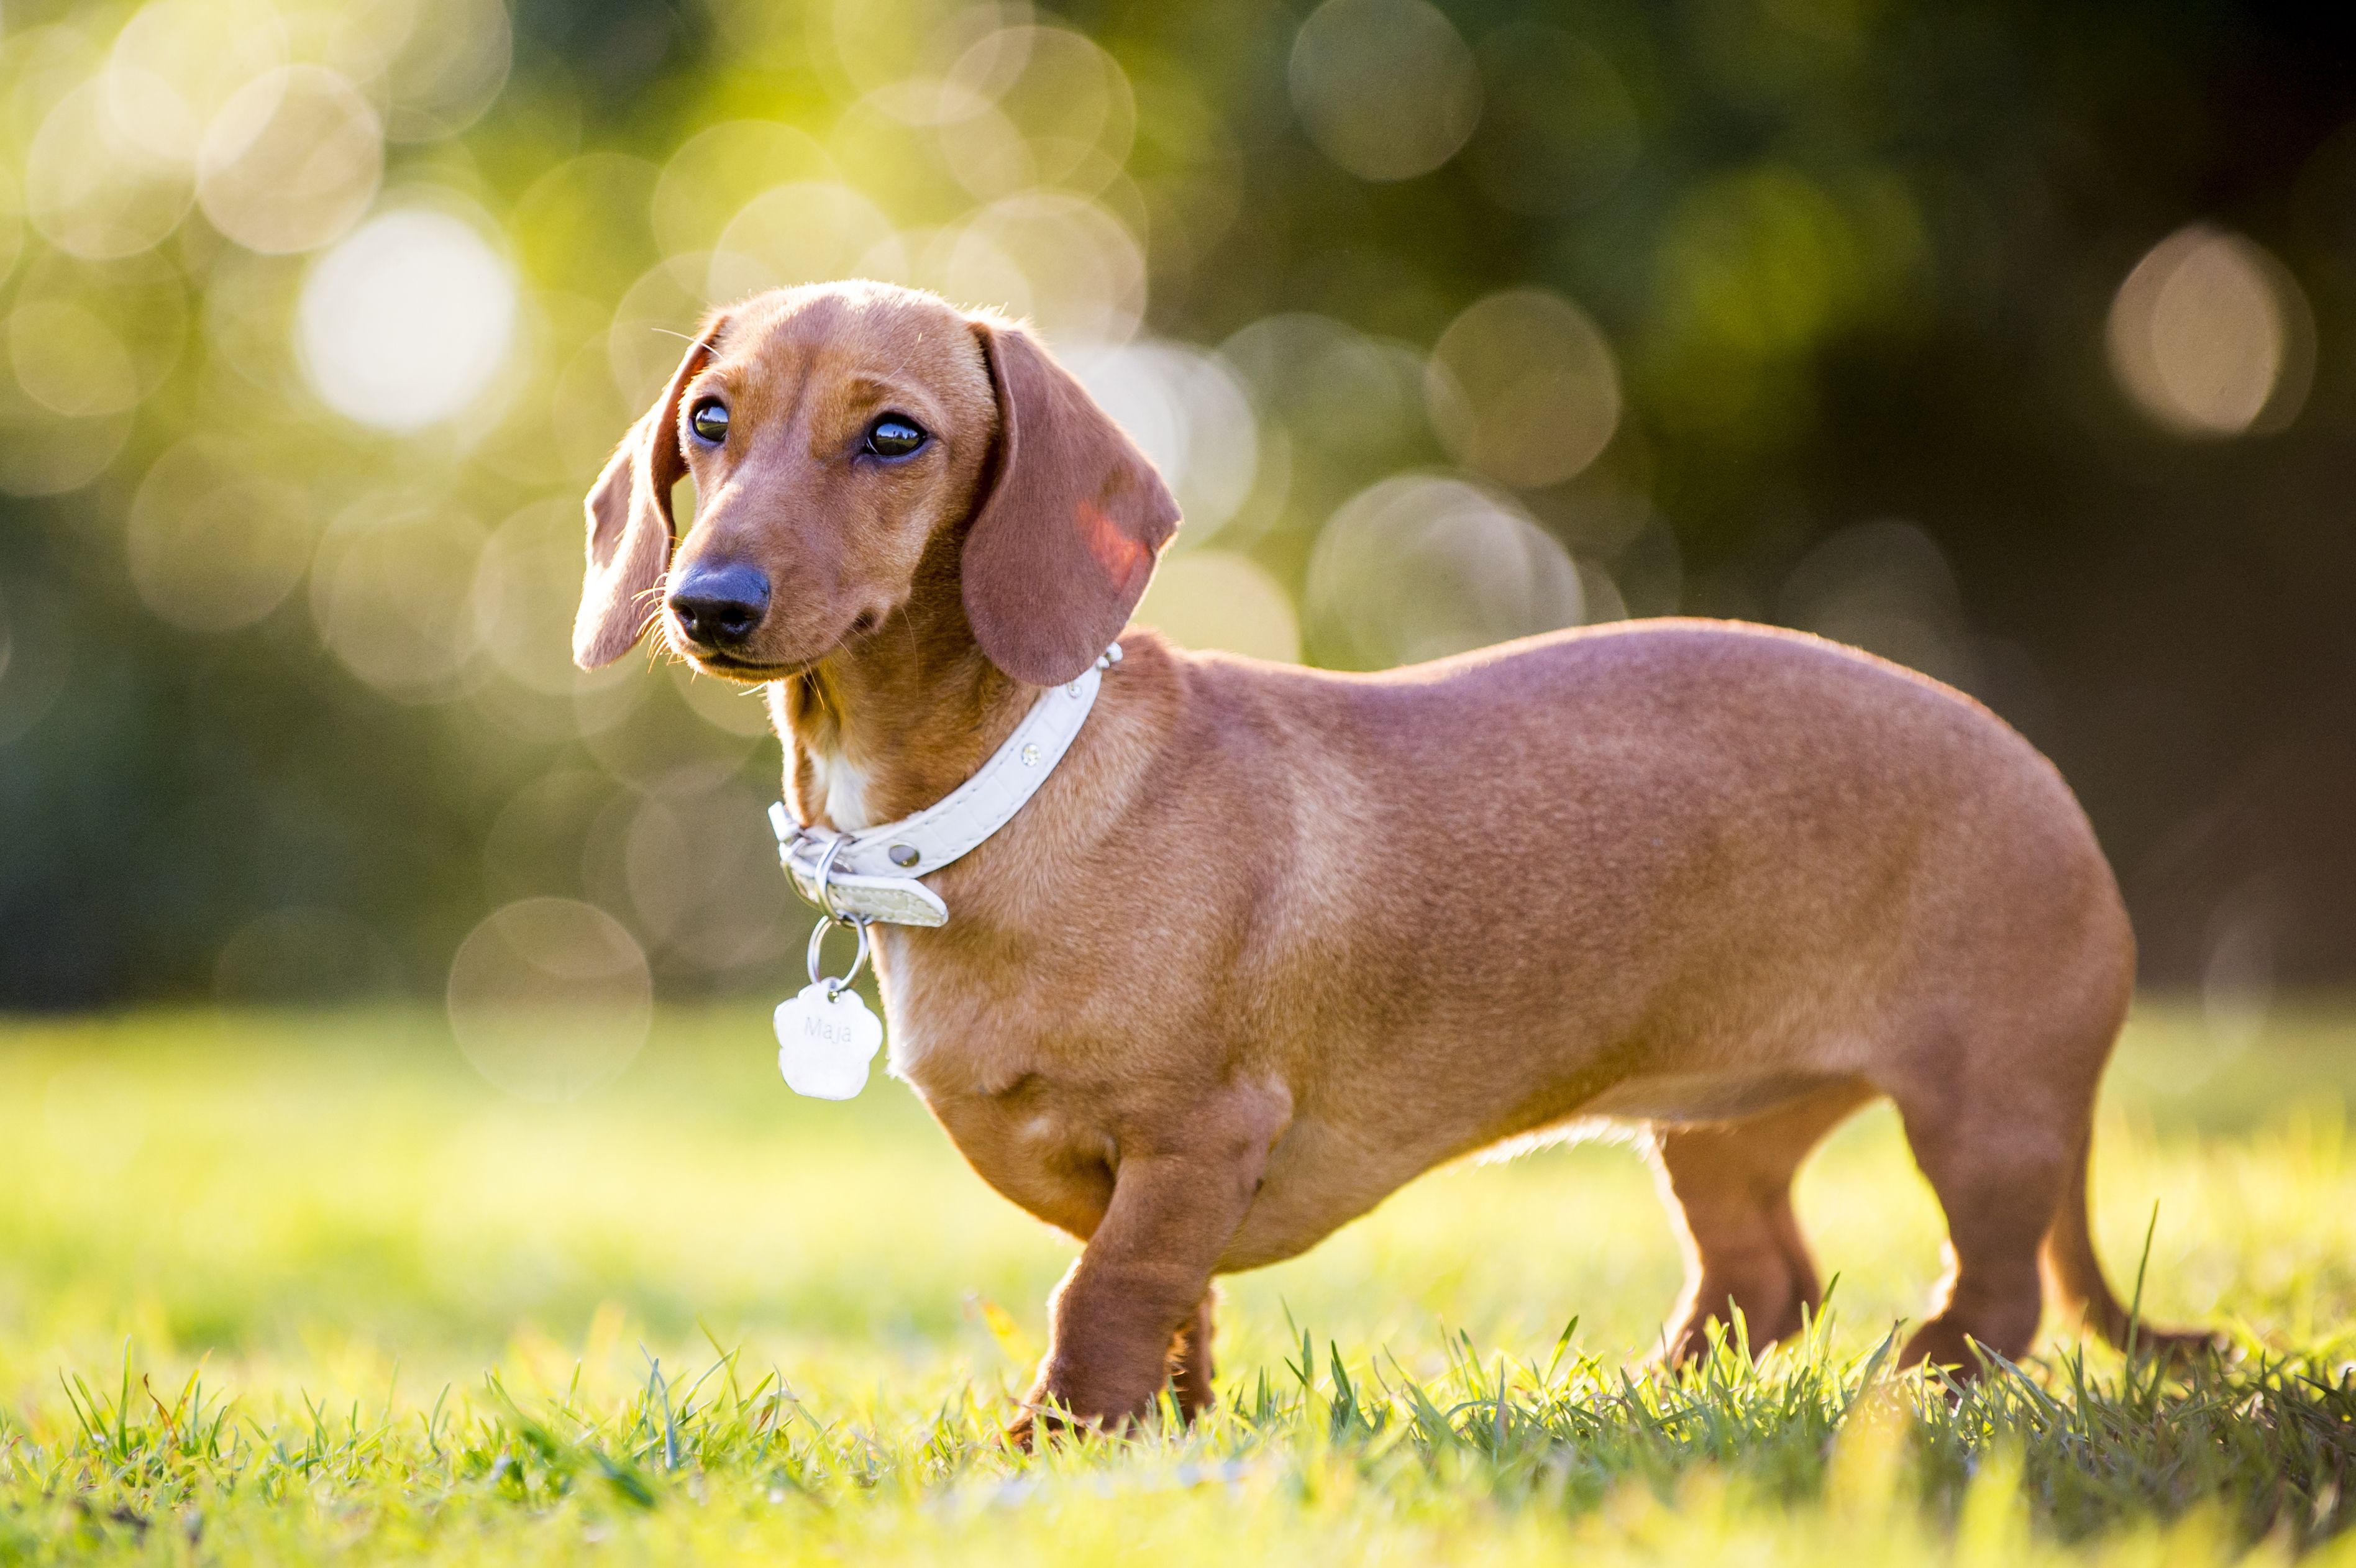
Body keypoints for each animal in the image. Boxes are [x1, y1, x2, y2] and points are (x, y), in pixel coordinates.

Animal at [570, 278, 2205, 1431]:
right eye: (708, 418)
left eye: (896, 433)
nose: (708, 603)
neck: (994, 800)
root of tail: (2041, 774)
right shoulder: (1155, 1177)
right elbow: (1169, 1305)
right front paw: (1160, 1438)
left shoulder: (1198, 1133)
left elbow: (1105, 1293)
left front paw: (1045, 1447)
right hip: (1720, 1124)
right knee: (1762, 1282)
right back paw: (1642, 1400)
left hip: (1984, 1107)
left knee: (1994, 1294)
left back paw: (1913, 1391)